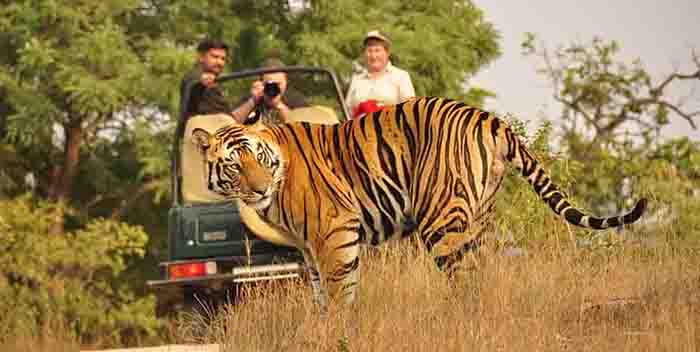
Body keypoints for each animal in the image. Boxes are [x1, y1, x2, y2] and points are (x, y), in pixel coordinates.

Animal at [190, 95, 644, 308]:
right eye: (234, 165)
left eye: (257, 157)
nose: (259, 189)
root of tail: (490, 118)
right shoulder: (309, 248)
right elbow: (322, 294)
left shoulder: (334, 232)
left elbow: (339, 294)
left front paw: (338, 330)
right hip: (477, 218)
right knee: (483, 273)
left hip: (441, 221)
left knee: (465, 280)